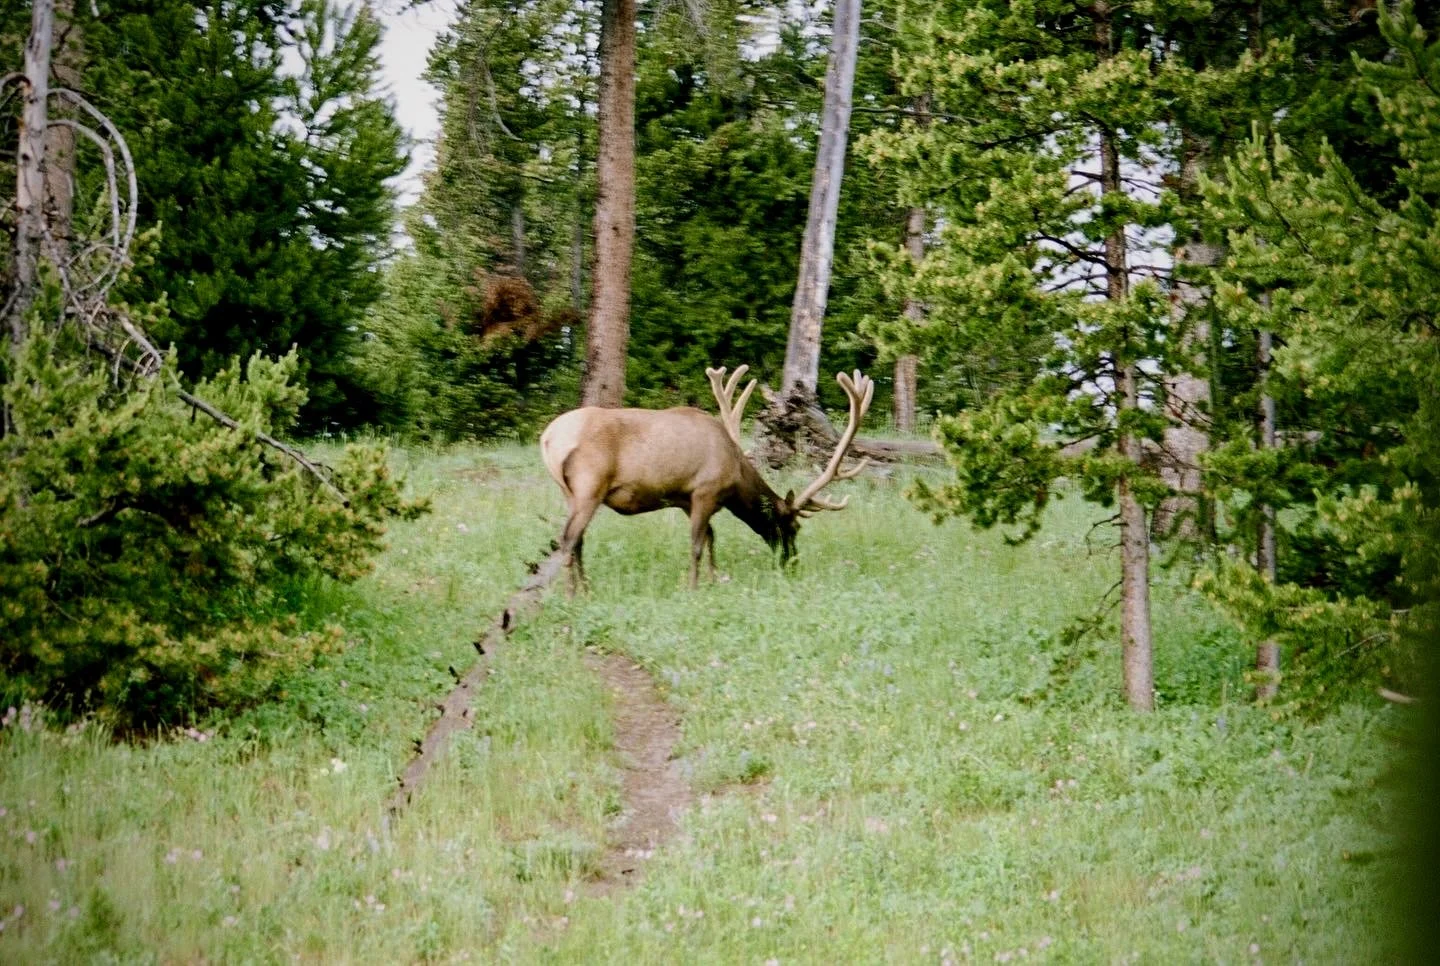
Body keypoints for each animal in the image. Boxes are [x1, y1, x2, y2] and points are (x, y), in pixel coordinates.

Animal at [539, 365, 874, 591]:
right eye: (793, 527)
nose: (792, 563)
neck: (736, 475)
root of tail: (548, 438)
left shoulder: (688, 499)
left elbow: (712, 537)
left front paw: (715, 580)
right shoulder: (704, 491)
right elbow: (698, 543)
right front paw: (693, 586)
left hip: (570, 492)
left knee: (577, 540)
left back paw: (585, 588)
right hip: (589, 486)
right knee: (568, 539)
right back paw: (573, 593)